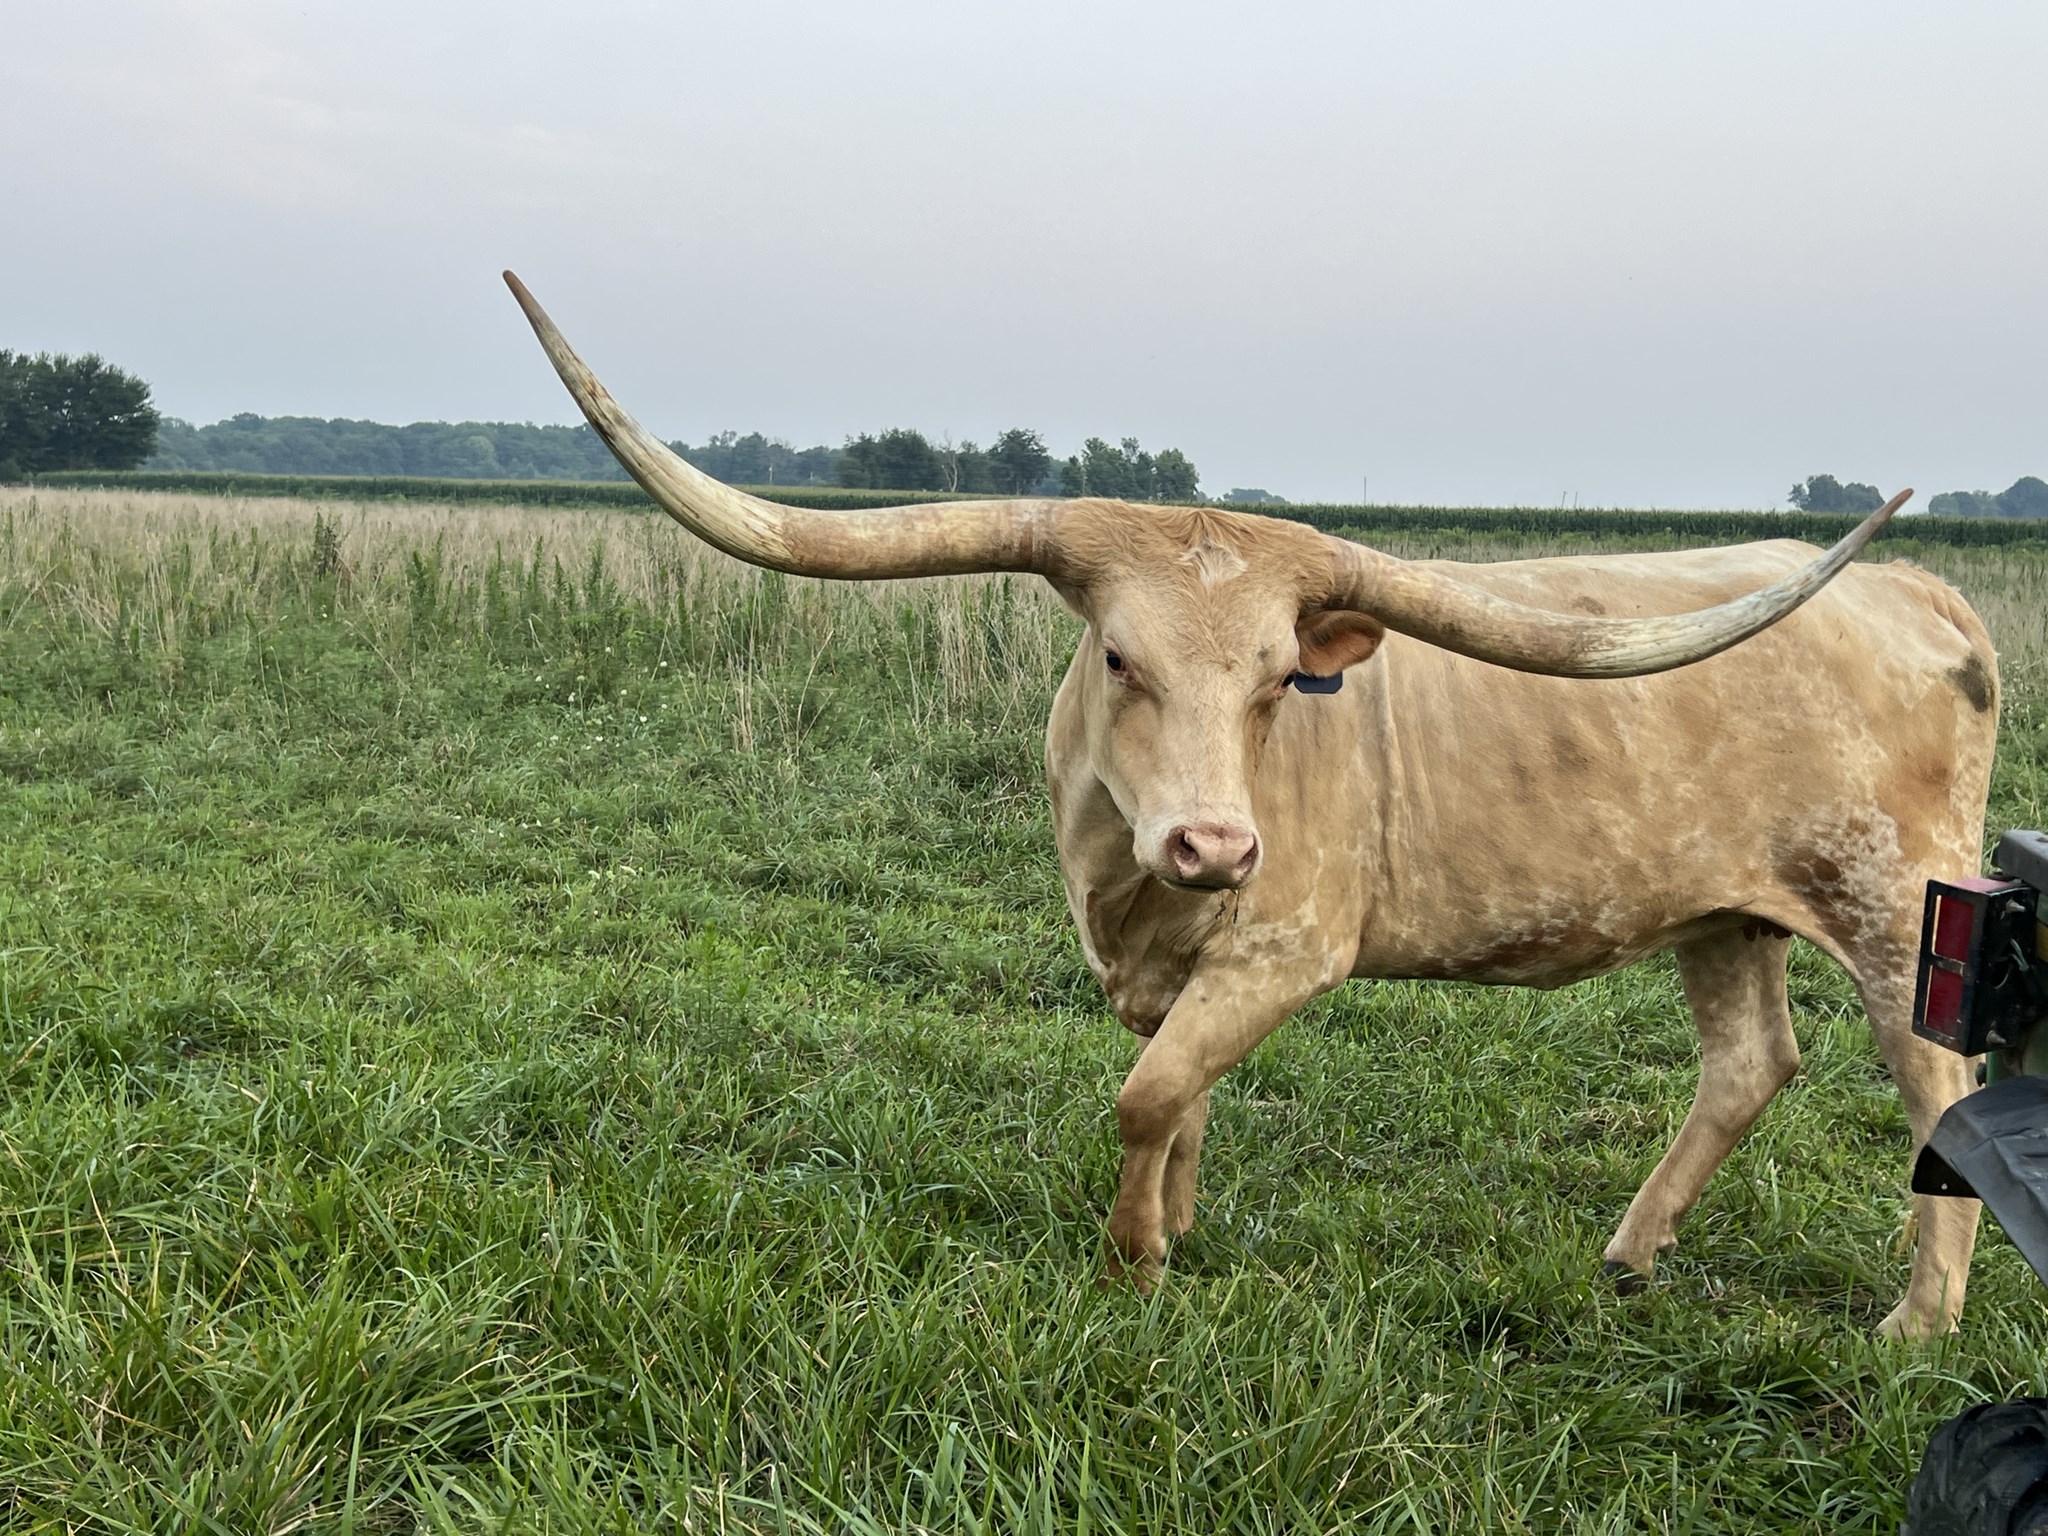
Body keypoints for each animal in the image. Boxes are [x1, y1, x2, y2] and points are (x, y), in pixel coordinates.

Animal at [504, 272, 1997, 1339]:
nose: (1215, 843)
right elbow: (1188, 1103)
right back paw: (1630, 1258)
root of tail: (1910, 593)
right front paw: (1181, 1225)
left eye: (1284, 676)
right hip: (1724, 911)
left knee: (1938, 1085)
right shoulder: (1181, 964)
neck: (1124, 888)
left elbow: (1148, 1096)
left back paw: (1915, 1324)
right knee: (1748, 1064)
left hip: (1899, 909)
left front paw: (1134, 1261)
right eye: (1118, 656)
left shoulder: (1283, 948)